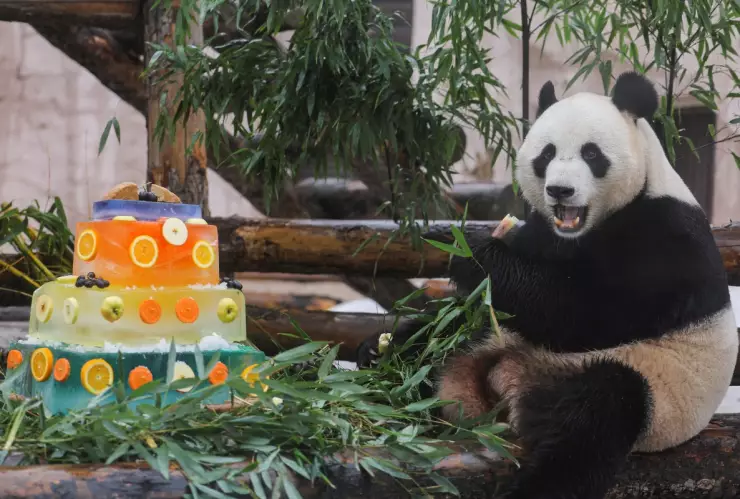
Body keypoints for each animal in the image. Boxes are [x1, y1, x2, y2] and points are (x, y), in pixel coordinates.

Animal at [356, 71, 739, 499]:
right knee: (445, 334)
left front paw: (471, 250)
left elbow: (581, 312)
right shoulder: (545, 234)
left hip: (653, 391)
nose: (560, 190)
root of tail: (508, 385)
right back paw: (381, 358)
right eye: (546, 155)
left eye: (592, 154)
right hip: (494, 338)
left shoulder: (665, 240)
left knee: (594, 419)